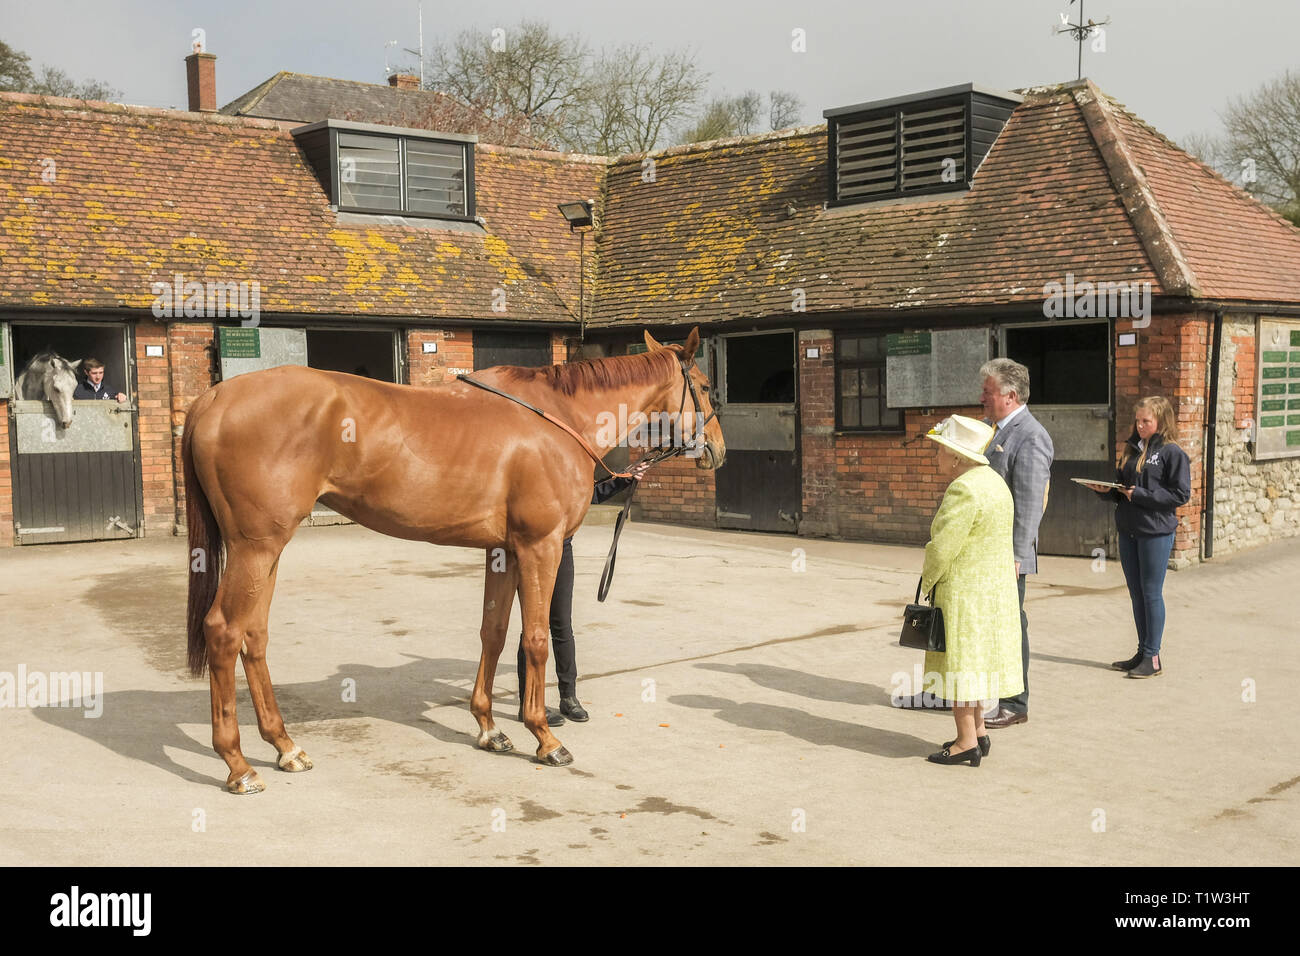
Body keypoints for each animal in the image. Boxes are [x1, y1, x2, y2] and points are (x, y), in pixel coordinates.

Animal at [183, 329, 728, 790]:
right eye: (704, 386)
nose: (718, 451)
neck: (556, 417)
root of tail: (214, 398)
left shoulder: (503, 551)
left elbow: (495, 632)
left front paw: (489, 728)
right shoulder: (540, 547)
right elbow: (534, 641)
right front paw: (544, 737)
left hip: (268, 549)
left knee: (254, 636)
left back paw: (285, 746)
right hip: (256, 548)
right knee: (224, 631)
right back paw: (238, 765)